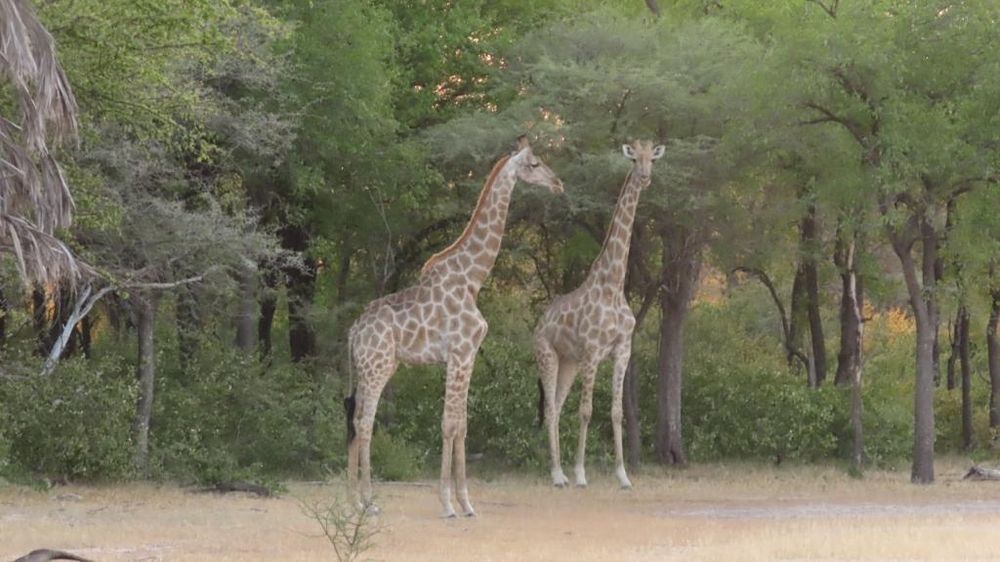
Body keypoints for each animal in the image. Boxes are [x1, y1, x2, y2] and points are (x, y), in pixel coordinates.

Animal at [346, 136, 563, 517]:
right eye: (534, 163)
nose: (558, 183)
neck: (472, 278)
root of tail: (353, 332)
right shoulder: (460, 352)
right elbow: (449, 423)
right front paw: (448, 502)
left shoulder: (468, 355)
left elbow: (462, 424)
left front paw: (466, 502)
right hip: (378, 367)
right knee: (365, 423)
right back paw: (369, 502)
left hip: (369, 367)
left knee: (355, 420)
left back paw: (355, 500)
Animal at [533, 139, 664, 489]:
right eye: (633, 159)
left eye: (652, 159)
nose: (645, 177)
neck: (614, 283)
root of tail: (538, 325)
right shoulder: (593, 351)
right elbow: (586, 410)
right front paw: (581, 474)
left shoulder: (622, 350)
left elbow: (617, 411)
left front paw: (623, 475)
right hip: (547, 356)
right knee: (551, 409)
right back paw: (558, 475)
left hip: (569, 363)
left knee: (557, 406)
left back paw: (561, 472)